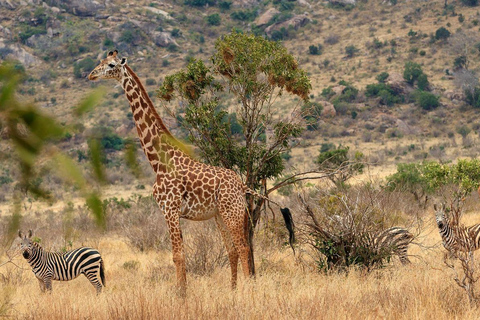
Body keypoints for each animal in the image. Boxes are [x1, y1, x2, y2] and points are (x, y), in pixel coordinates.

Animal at [87, 49, 255, 292]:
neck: (158, 161)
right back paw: (232, 290)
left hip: (232, 211)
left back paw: (248, 288)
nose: (91, 75)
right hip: (219, 215)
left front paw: (181, 295)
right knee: (232, 249)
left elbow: (177, 256)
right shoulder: (171, 211)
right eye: (100, 61)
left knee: (243, 247)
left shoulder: (170, 209)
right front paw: (183, 292)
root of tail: (241, 184)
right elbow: (179, 255)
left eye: (111, 65)